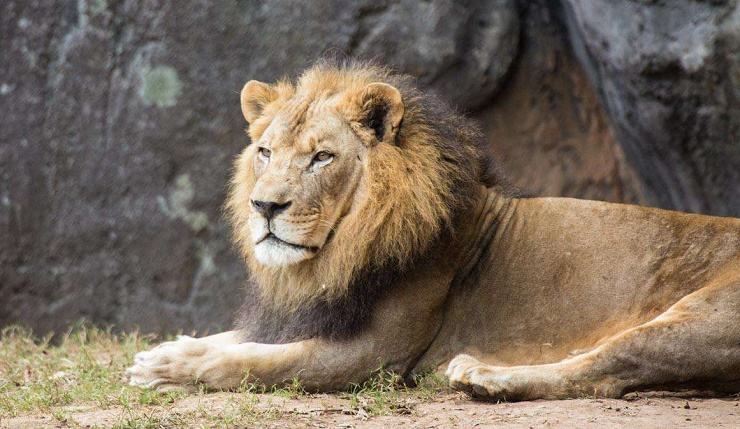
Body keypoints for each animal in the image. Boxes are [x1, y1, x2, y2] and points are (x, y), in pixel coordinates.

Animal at [126, 61, 740, 400]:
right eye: (265, 152)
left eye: (322, 157)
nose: (264, 206)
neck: (334, 256)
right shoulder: (307, 315)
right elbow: (234, 338)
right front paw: (162, 351)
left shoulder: (374, 355)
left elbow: (256, 361)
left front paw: (172, 368)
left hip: (703, 316)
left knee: (606, 369)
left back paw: (485, 376)